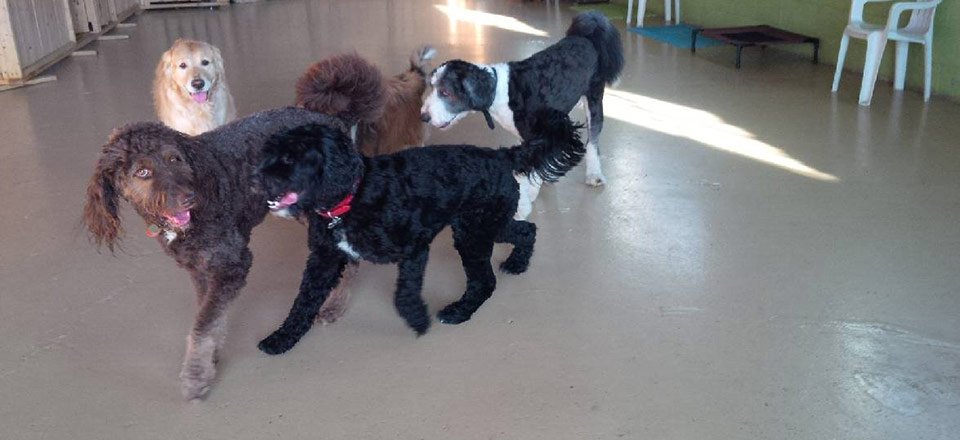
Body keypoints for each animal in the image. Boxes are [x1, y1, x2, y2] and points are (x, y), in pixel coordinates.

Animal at [80, 106, 346, 398]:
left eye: (174, 158)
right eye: (142, 172)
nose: (189, 198)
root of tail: (328, 118)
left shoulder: (234, 264)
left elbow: (202, 325)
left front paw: (196, 375)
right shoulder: (200, 269)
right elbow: (207, 313)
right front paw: (212, 355)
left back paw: (334, 305)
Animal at [255, 109, 580, 354]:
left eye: (290, 158)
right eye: (267, 153)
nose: (256, 177)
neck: (353, 196)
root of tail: (500, 155)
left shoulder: (415, 249)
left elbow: (403, 294)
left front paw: (418, 320)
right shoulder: (323, 260)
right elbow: (303, 301)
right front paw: (282, 338)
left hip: (474, 232)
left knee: (485, 280)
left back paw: (460, 311)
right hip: (484, 225)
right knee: (526, 229)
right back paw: (518, 262)